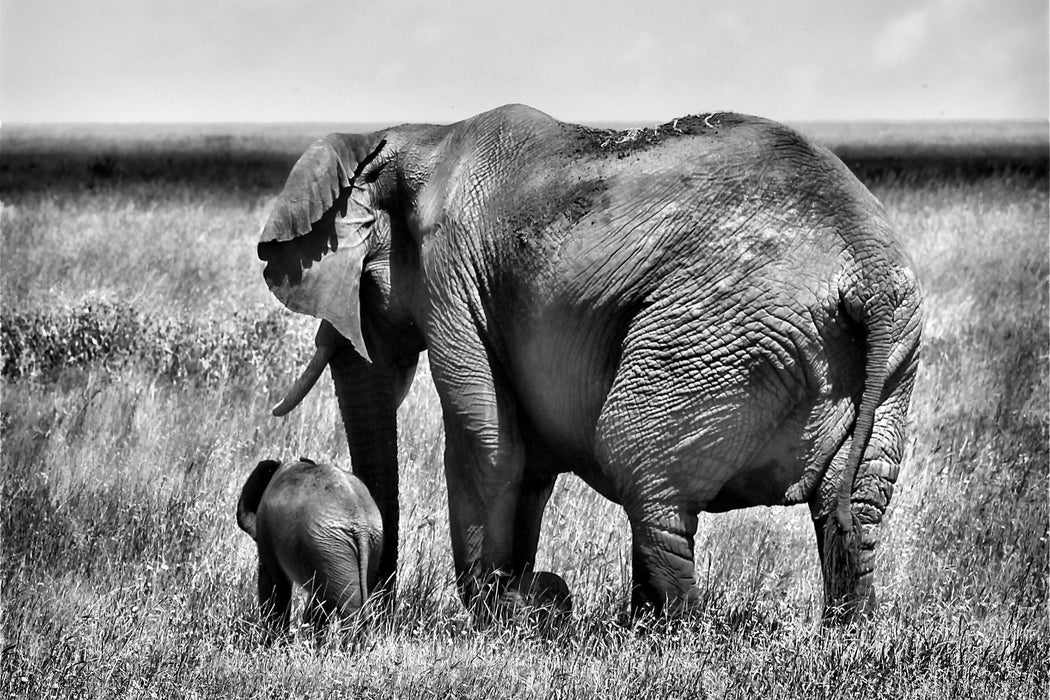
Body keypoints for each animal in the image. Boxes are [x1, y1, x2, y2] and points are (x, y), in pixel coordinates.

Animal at [236, 457, 384, 638]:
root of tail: (359, 523)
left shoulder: (265, 530)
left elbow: (274, 582)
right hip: (355, 544)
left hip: (329, 546)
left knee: (348, 607)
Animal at [251, 105, 919, 625]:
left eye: (361, 284)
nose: (380, 609)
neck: (419, 135)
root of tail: (865, 266)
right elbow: (529, 459)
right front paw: (518, 599)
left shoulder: (452, 276)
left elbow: (488, 440)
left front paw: (499, 613)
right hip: (889, 359)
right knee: (854, 500)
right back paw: (845, 636)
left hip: (714, 333)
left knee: (638, 463)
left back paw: (665, 635)